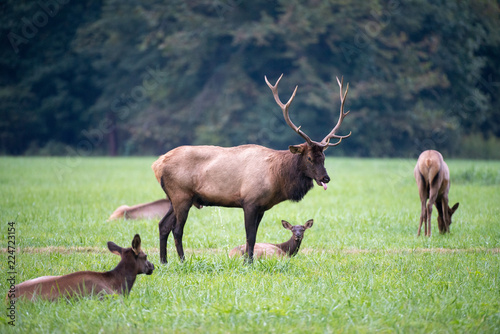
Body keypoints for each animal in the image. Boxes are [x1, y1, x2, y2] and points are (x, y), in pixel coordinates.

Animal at [152, 73, 352, 264]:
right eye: (310, 158)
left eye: (324, 157)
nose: (325, 178)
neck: (276, 178)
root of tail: (157, 164)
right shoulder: (249, 201)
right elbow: (250, 236)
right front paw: (248, 263)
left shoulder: (262, 206)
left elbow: (253, 236)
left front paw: (249, 261)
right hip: (182, 194)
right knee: (177, 229)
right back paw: (182, 261)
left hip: (174, 197)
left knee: (163, 225)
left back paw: (164, 261)